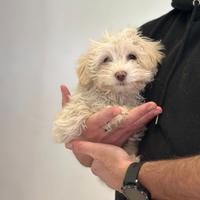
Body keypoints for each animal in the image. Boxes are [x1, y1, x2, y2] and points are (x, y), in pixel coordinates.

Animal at [53, 28, 164, 156]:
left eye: (132, 56)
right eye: (106, 59)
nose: (120, 74)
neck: (115, 95)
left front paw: (120, 113)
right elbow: (80, 105)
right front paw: (65, 126)